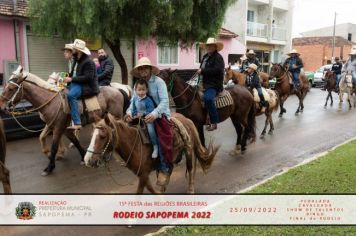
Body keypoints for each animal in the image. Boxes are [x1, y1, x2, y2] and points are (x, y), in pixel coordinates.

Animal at [83, 113, 218, 194]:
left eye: (103, 136)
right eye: (92, 135)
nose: (88, 160)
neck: (135, 144)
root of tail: (186, 119)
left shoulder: (143, 174)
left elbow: (139, 193)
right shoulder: (142, 173)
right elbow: (150, 189)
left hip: (189, 150)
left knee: (190, 169)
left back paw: (190, 190)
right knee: (169, 169)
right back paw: (163, 186)